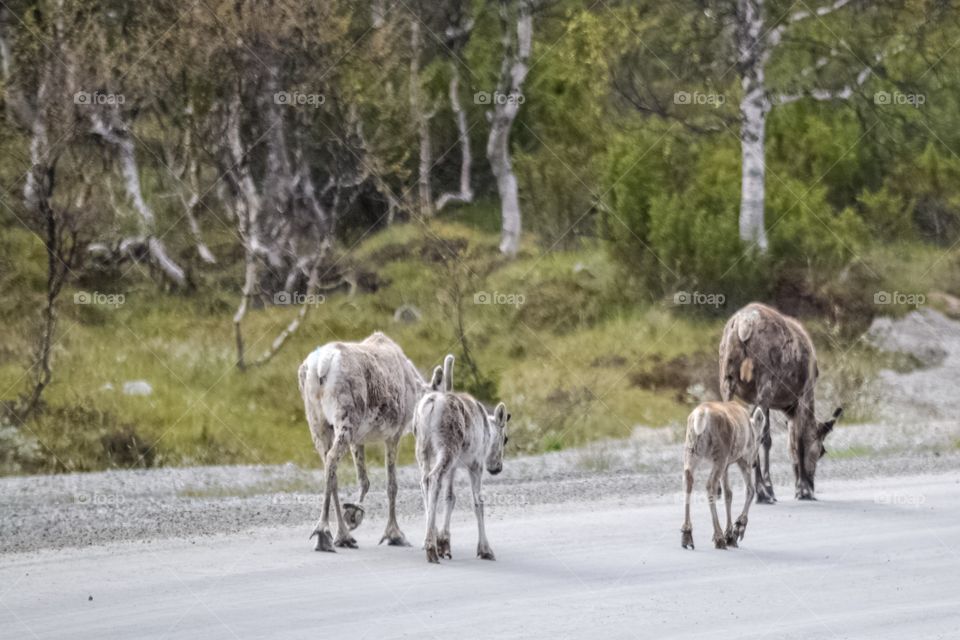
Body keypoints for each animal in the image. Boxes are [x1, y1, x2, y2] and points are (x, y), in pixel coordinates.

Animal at [684, 404, 764, 552]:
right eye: (761, 438)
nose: (755, 463)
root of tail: (701, 415)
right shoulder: (743, 459)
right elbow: (750, 490)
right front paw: (737, 529)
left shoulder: (727, 465)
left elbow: (728, 494)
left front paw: (730, 534)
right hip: (720, 455)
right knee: (710, 485)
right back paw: (719, 537)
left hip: (691, 451)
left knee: (688, 480)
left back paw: (687, 535)